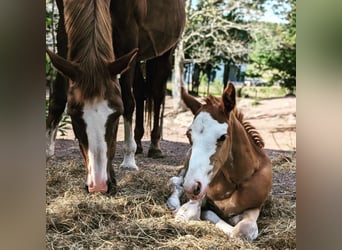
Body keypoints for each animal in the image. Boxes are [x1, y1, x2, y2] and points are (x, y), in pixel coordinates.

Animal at [46, 0, 186, 193]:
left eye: (116, 115)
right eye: (73, 115)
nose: (98, 184)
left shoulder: (129, 37)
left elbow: (127, 101)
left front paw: (128, 160)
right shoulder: (64, 31)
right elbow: (58, 98)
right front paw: (47, 153)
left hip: (166, 51)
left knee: (157, 94)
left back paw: (154, 146)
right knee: (140, 92)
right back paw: (139, 143)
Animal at [167, 83, 272, 240]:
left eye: (223, 136)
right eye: (188, 134)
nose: (193, 186)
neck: (238, 180)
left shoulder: (256, 206)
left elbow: (244, 229)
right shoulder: (198, 195)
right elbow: (188, 213)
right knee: (175, 181)